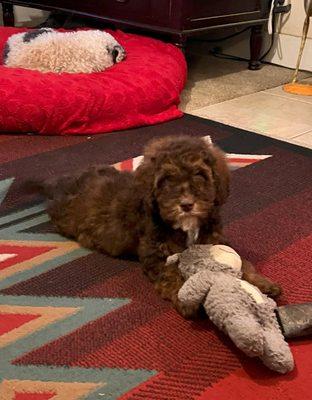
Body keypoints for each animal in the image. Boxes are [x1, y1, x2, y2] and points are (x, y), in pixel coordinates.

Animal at [33, 136, 280, 318]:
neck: (186, 227)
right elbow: (172, 274)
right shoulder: (156, 254)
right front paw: (184, 298)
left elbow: (241, 260)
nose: (186, 204)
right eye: (167, 179)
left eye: (199, 174)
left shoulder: (216, 239)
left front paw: (262, 283)